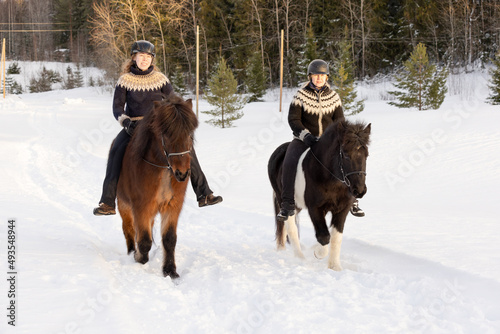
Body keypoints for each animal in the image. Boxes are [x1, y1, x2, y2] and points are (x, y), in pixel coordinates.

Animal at [116, 94, 197, 280]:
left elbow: (169, 239)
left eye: (190, 135)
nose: (182, 173)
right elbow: (144, 241)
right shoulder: (141, 206)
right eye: (165, 135)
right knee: (129, 229)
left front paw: (170, 271)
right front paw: (139, 259)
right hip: (124, 205)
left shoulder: (173, 206)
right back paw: (131, 252)